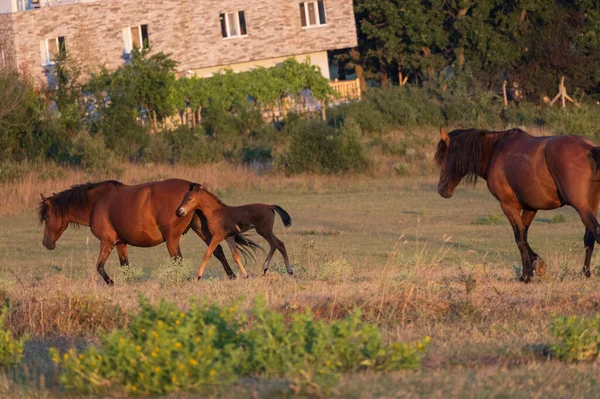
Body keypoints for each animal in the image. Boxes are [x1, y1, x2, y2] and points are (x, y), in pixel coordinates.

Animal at [38, 180, 256, 286]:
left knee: (178, 259)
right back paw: (231, 276)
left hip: (172, 239)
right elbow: (125, 266)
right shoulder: (120, 243)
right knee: (217, 250)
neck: (97, 202)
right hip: (199, 229)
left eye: (46, 217)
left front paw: (111, 283)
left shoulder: (107, 241)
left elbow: (99, 267)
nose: (46, 243)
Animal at [434, 126, 600, 282]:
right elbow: (524, 236)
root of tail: (588, 148)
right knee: (589, 237)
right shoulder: (530, 207)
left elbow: (519, 237)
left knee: (595, 232)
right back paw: (585, 273)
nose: (442, 189)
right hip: (591, 206)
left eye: (444, 157)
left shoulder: (508, 205)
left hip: (582, 208)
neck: (496, 151)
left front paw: (526, 275)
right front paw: (536, 264)